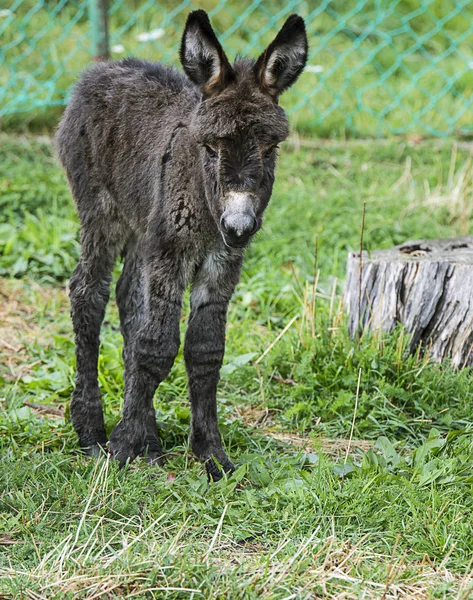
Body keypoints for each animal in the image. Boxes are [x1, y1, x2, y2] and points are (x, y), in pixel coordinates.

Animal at [55, 8, 308, 478]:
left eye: (269, 148)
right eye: (209, 147)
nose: (239, 225)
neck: (207, 214)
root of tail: (104, 68)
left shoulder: (221, 262)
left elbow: (205, 350)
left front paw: (211, 454)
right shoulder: (172, 252)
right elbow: (157, 346)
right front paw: (121, 447)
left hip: (143, 230)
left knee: (129, 299)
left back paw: (150, 438)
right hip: (103, 212)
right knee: (88, 293)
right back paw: (92, 429)